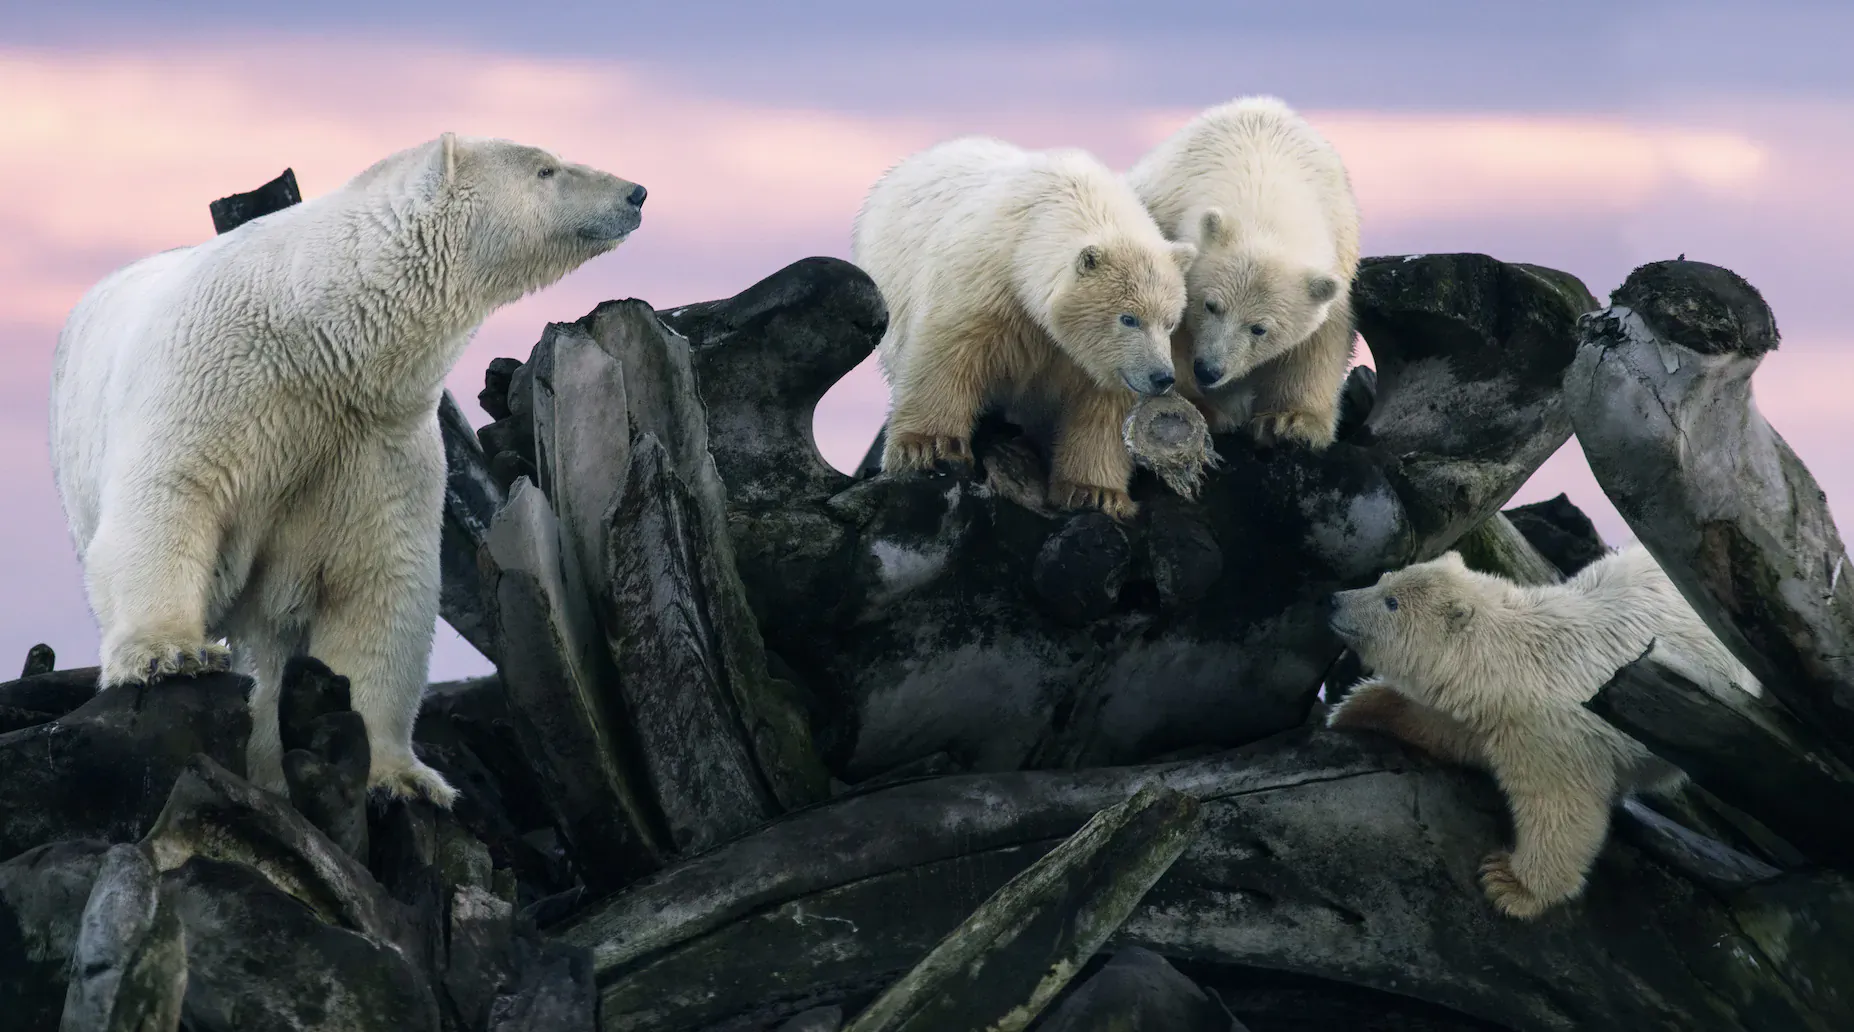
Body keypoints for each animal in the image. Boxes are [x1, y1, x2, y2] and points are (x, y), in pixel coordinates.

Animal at [49, 133, 647, 805]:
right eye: (546, 169)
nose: (635, 193)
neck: (315, 334)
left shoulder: (373, 442)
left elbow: (379, 581)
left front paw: (400, 779)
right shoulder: (217, 380)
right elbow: (173, 494)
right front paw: (168, 654)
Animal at [852, 135, 1196, 521]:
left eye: (1170, 321)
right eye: (1129, 318)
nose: (1161, 377)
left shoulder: (1095, 359)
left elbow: (1102, 407)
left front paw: (1096, 493)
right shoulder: (986, 283)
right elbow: (947, 351)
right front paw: (928, 447)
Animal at [1125, 95, 1361, 449]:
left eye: (1259, 328)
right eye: (1211, 305)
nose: (1209, 370)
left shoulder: (1338, 253)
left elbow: (1318, 340)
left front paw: (1290, 422)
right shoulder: (1166, 220)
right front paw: (1204, 408)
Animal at [1321, 544, 1761, 919]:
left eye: (1391, 603)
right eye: (1383, 578)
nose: (1334, 599)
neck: (1516, 660)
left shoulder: (1553, 732)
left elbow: (1563, 810)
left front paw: (1510, 884)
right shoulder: (1491, 717)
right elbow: (1445, 730)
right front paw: (1357, 708)